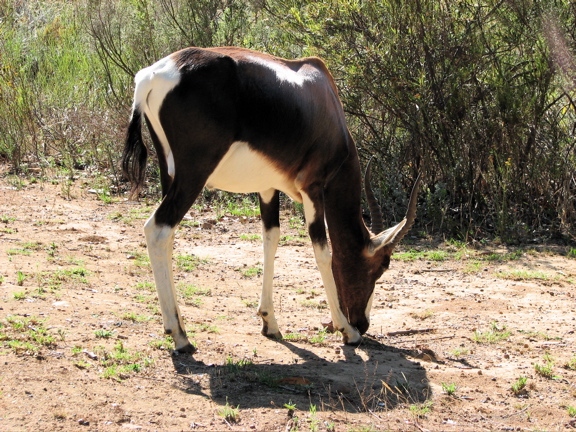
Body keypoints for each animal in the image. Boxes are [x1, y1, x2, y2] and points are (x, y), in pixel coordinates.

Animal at [122, 46, 418, 354]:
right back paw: (181, 337)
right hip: (194, 175)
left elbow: (270, 239)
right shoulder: (313, 188)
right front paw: (347, 331)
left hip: (169, 172)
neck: (322, 93)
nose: (362, 323)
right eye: (381, 266)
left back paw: (176, 327)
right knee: (157, 230)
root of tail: (153, 75)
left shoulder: (267, 188)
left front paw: (270, 323)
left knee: (167, 237)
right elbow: (322, 252)